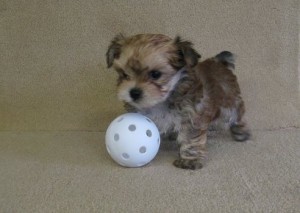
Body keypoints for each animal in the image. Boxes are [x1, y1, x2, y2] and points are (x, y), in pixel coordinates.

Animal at [106, 33, 251, 170]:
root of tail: (218, 62)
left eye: (155, 74)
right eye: (124, 74)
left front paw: (189, 160)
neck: (161, 102)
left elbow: (190, 139)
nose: (134, 92)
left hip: (229, 103)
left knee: (236, 114)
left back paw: (241, 131)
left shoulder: (191, 117)